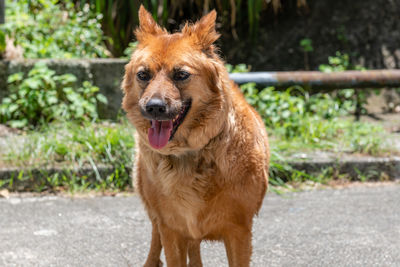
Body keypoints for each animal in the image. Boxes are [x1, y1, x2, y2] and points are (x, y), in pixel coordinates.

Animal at [122, 6, 268, 267]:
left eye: (181, 74)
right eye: (143, 75)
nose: (154, 107)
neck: (190, 153)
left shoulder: (239, 231)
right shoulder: (171, 229)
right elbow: (167, 241)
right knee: (155, 234)